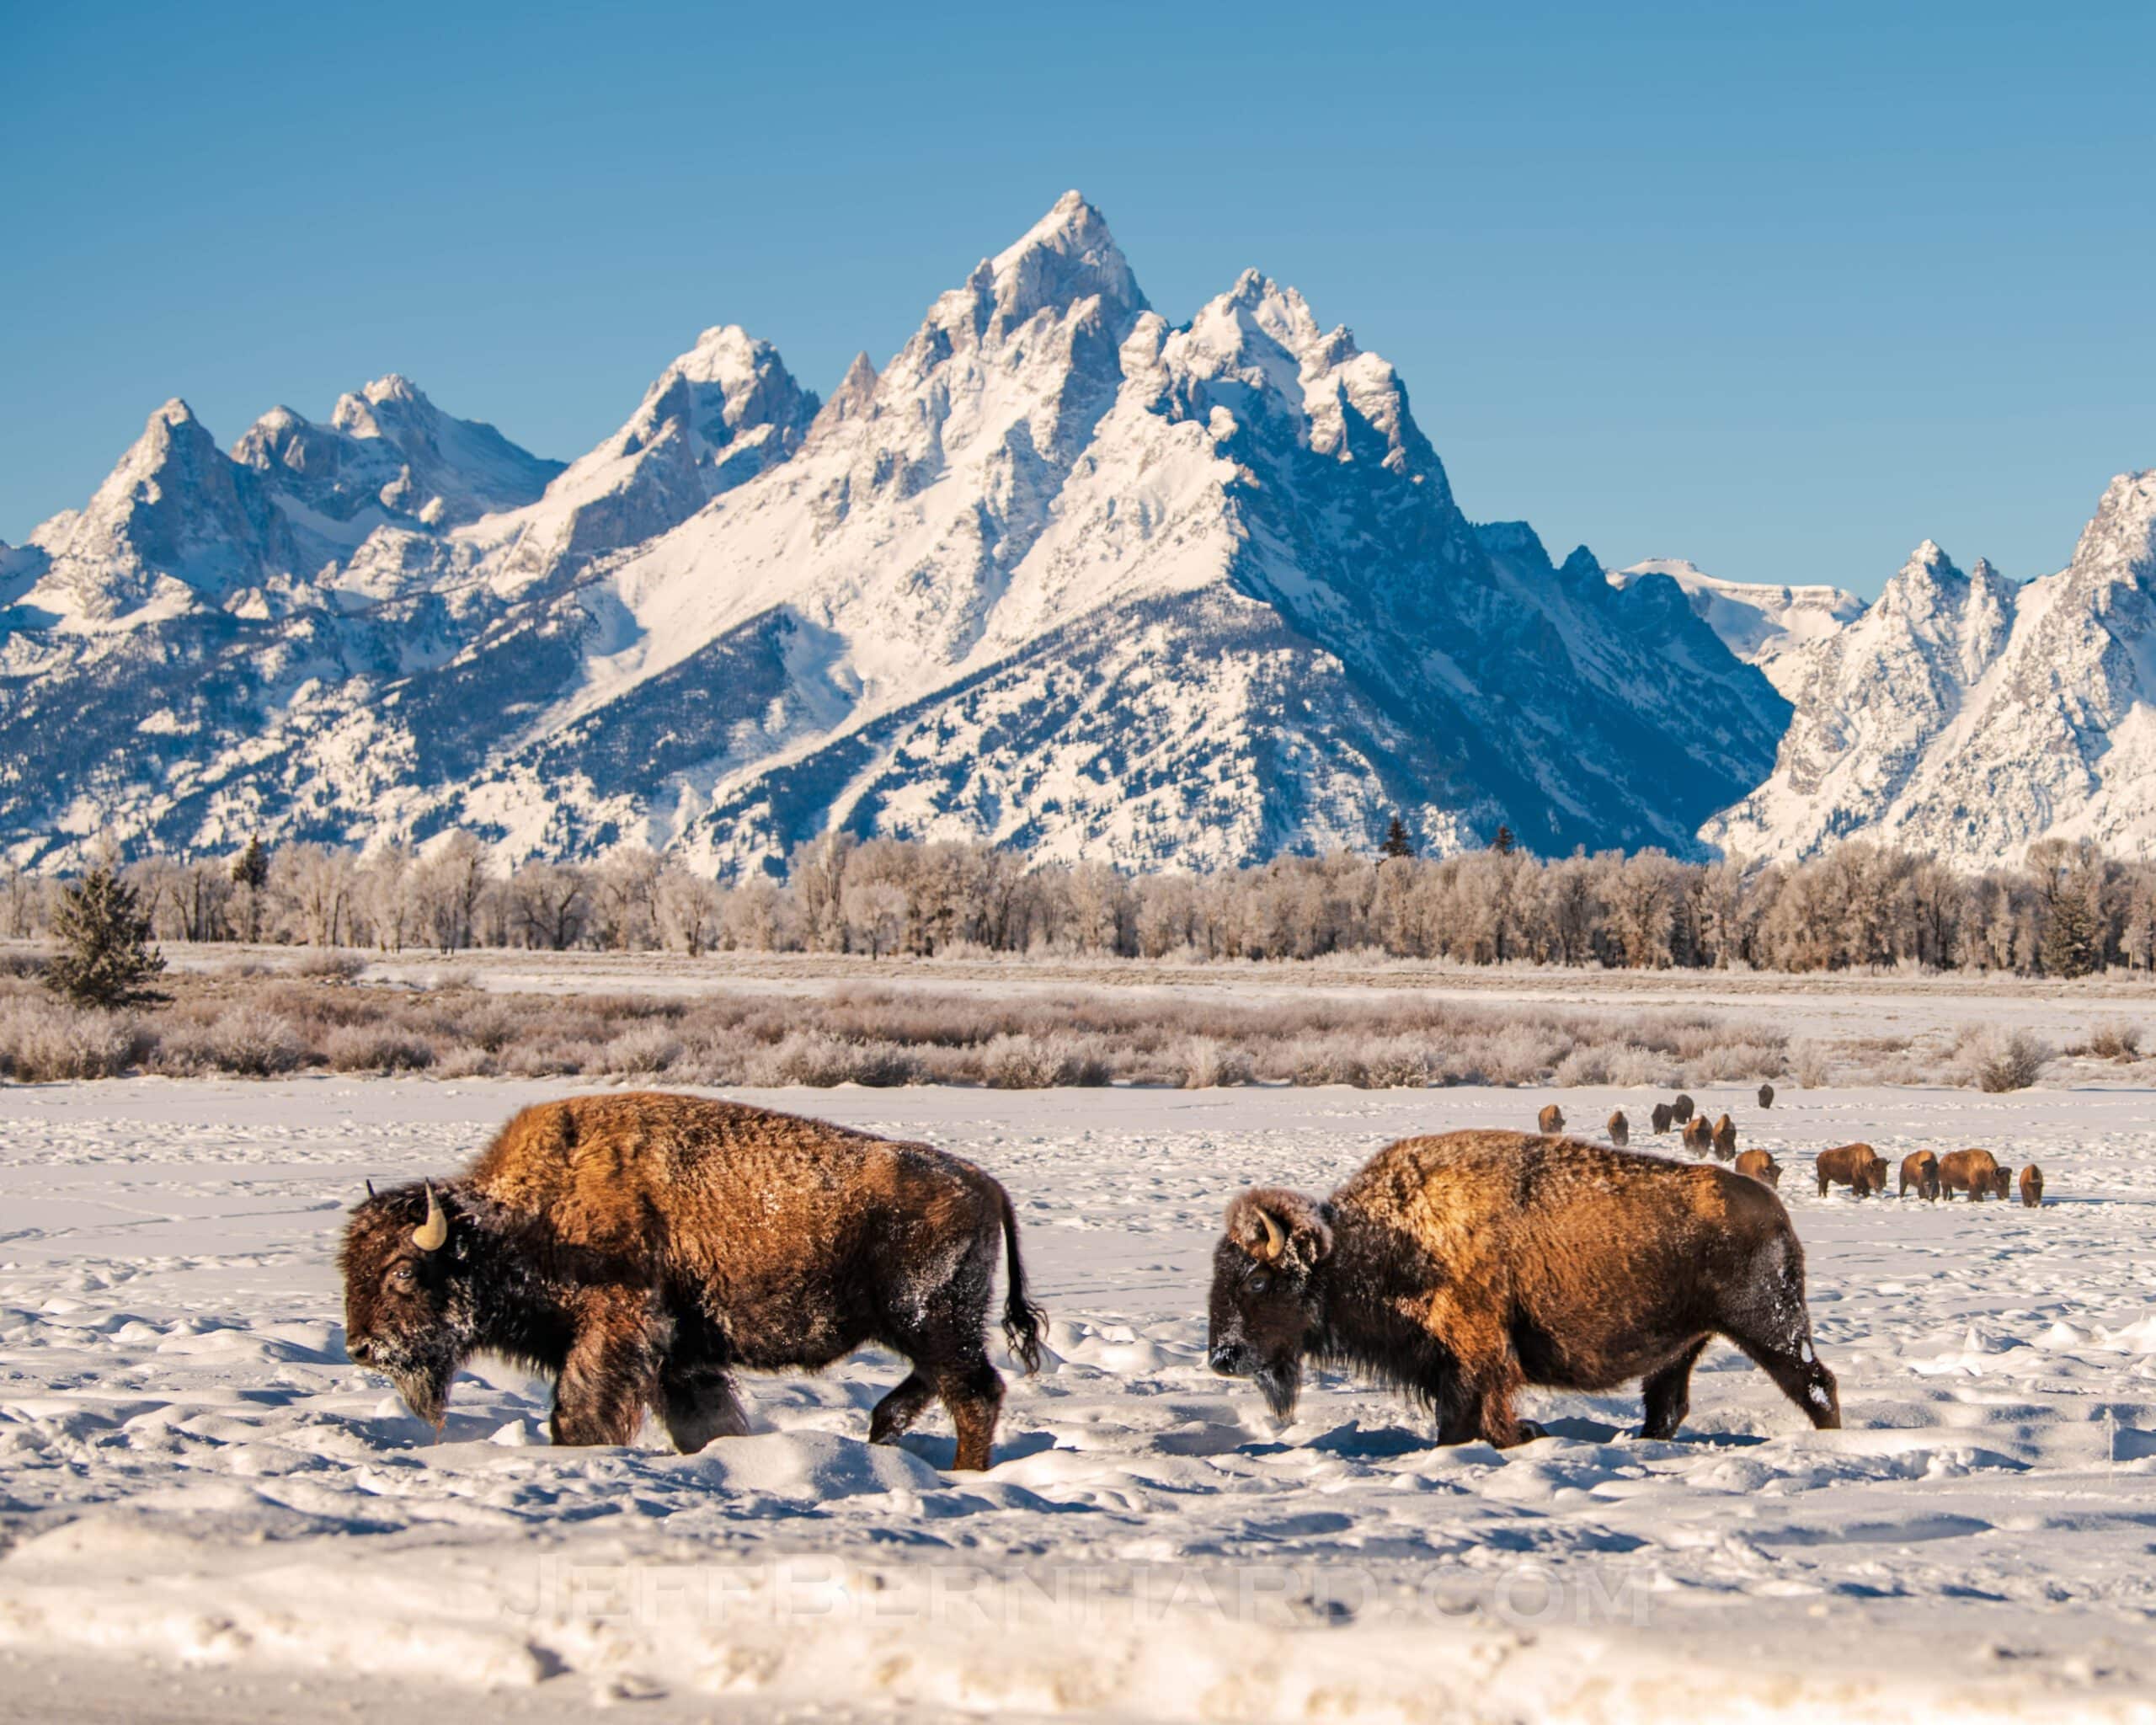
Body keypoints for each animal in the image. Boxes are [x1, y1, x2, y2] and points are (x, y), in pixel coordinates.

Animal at [340, 1093, 1045, 1470]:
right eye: (349, 1267)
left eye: (404, 1271)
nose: (360, 1347)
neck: (525, 1219)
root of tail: (984, 1182)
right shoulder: (680, 1360)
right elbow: (704, 1420)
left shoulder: (616, 1333)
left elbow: (579, 1411)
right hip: (925, 1329)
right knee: (920, 1394)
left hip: (932, 1320)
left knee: (975, 1393)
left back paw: (963, 1475)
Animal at [1208, 1129, 1840, 1447]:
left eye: (1259, 1279)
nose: (1223, 1357)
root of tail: (1773, 1209)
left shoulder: (1476, 1351)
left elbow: (1474, 1412)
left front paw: (1518, 1436)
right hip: (1684, 1346)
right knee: (1667, 1406)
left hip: (1768, 1327)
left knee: (1814, 1383)